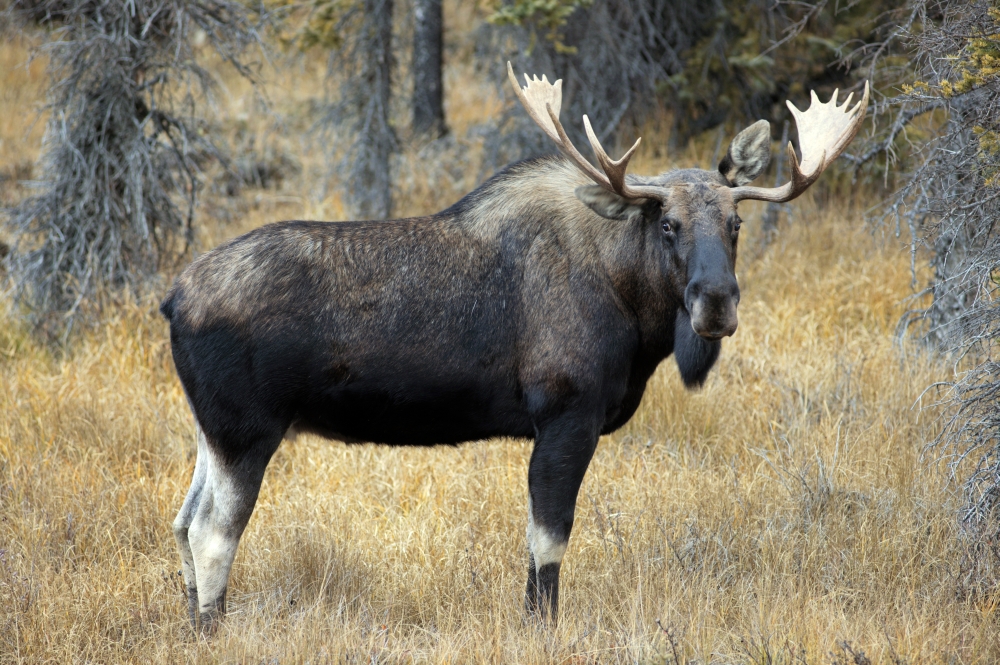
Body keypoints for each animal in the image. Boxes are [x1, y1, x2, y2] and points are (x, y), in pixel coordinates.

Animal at [161, 63, 868, 631]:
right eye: (668, 223)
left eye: (736, 223)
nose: (715, 301)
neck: (630, 306)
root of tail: (172, 300)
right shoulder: (566, 415)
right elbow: (548, 542)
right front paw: (543, 627)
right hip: (247, 430)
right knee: (213, 534)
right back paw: (213, 630)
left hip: (209, 431)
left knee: (182, 521)